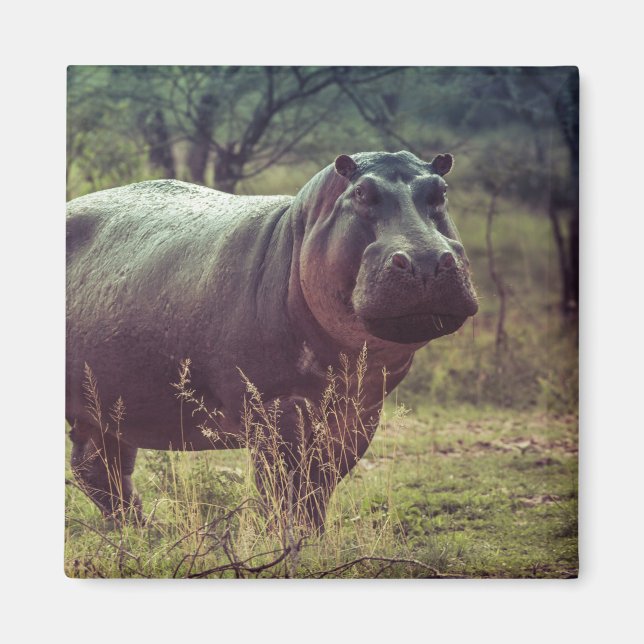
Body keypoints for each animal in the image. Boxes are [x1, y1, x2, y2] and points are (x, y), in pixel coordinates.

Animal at [66, 150, 478, 531]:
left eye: (440, 191)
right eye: (361, 191)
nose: (425, 260)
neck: (296, 236)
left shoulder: (360, 409)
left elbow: (319, 484)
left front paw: (313, 537)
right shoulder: (272, 407)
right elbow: (282, 484)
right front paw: (287, 540)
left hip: (106, 405)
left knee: (98, 467)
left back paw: (144, 531)